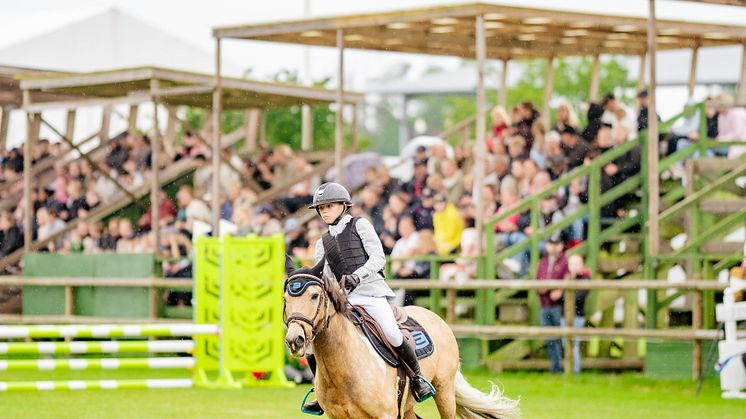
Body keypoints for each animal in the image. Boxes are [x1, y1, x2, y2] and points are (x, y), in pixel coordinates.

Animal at [282, 274, 520, 418]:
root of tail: (436, 317)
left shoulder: (384, 415)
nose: (295, 339)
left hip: (444, 392)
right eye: (285, 299)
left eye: (315, 296)